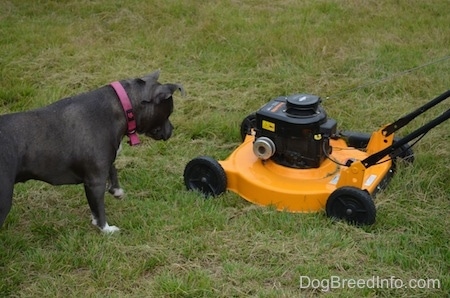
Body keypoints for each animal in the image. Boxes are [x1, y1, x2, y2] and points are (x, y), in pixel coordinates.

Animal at [0, 71, 185, 233]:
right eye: (169, 112)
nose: (172, 130)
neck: (122, 107)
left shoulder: (104, 163)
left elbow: (113, 169)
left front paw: (116, 191)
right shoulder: (95, 182)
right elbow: (99, 209)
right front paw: (106, 229)